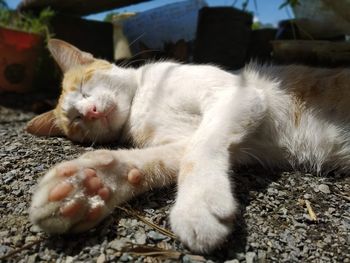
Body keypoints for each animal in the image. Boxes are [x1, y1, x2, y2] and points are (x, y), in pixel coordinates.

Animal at [25, 38, 350, 254]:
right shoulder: (205, 142)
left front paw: (198, 203)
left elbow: (201, 147)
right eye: (75, 120)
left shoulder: (239, 96)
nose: (90, 111)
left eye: (84, 89)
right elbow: (158, 161)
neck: (139, 103)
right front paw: (89, 185)